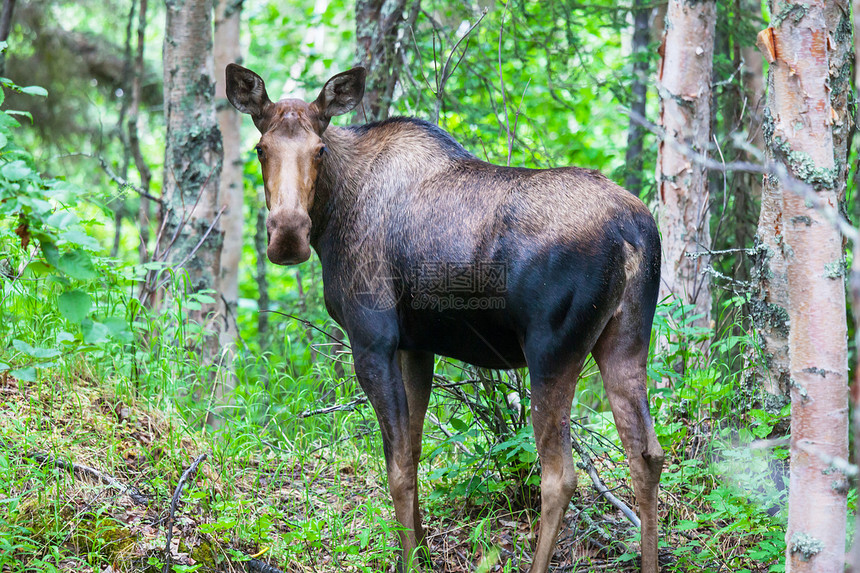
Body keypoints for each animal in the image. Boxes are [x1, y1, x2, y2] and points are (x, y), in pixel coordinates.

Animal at [225, 63, 660, 572]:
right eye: (261, 148)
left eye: (320, 149)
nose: (288, 234)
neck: (332, 215)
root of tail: (633, 232)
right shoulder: (417, 346)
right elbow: (414, 452)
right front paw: (422, 552)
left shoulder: (372, 339)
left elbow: (397, 468)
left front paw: (410, 560)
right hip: (626, 340)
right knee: (646, 454)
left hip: (552, 351)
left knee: (560, 475)